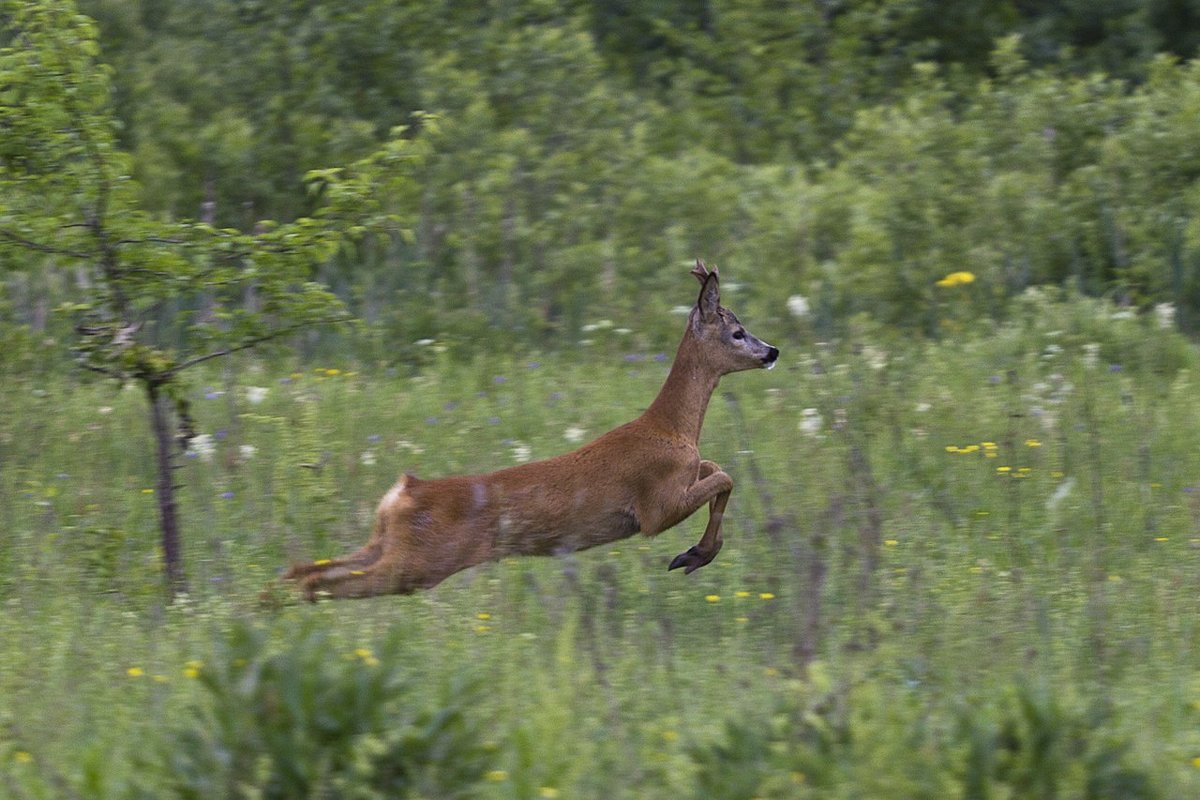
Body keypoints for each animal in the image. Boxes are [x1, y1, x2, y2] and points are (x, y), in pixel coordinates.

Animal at [285, 262, 782, 599]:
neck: (673, 427)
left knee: (305, 570)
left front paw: (696, 554)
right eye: (738, 332)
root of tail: (403, 492)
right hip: (421, 561)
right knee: (322, 581)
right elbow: (726, 475)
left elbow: (716, 468)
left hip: (387, 543)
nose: (773, 351)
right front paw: (692, 556)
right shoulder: (655, 508)